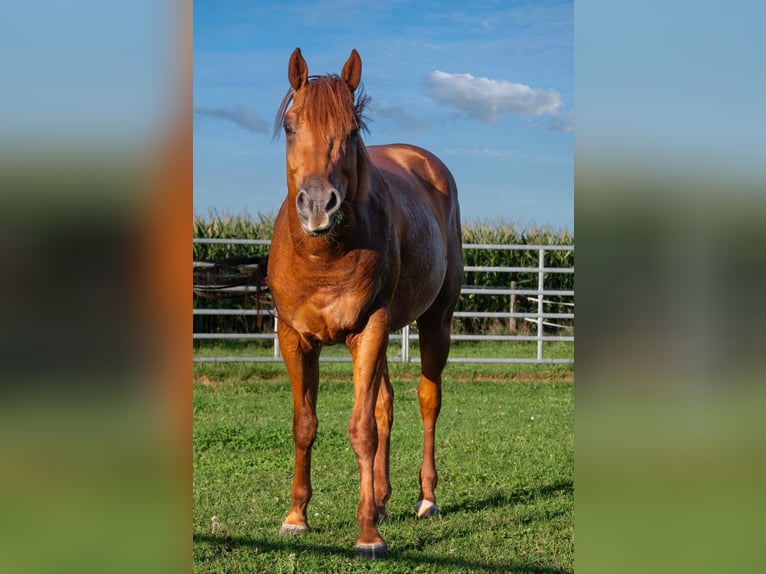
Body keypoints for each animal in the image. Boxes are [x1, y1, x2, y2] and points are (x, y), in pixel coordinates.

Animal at [268, 47, 464, 560]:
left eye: (352, 131)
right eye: (291, 125)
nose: (319, 205)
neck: (324, 256)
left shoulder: (370, 327)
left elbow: (361, 430)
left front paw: (368, 536)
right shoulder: (294, 337)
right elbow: (305, 424)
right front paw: (296, 518)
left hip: (435, 323)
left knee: (426, 401)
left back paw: (425, 499)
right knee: (386, 404)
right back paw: (380, 498)